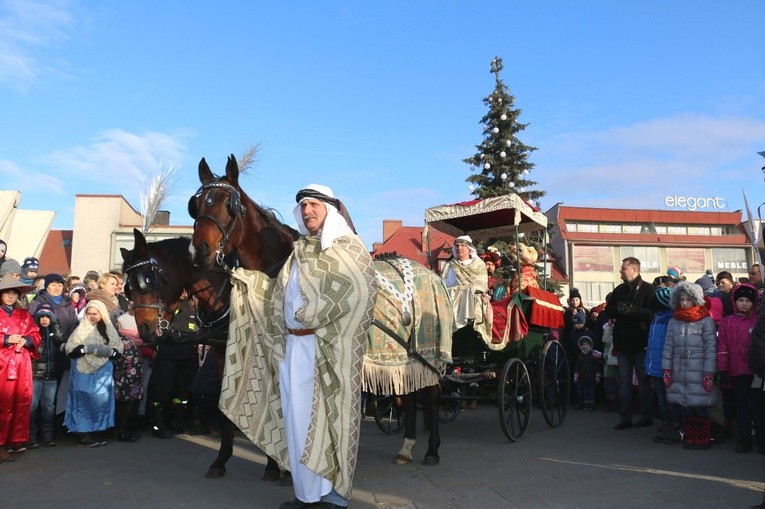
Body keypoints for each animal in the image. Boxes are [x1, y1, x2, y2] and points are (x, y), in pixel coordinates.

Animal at [119, 228, 286, 478]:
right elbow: (225, 404)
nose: (145, 330)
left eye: (146, 281)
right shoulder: (222, 354)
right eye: (128, 289)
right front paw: (221, 460)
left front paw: (275, 465)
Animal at [188, 154, 448, 464]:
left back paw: (432, 449)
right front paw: (222, 459)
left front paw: (275, 467)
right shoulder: (223, 354)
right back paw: (407, 447)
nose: (199, 250)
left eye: (229, 204)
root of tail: (431, 274)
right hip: (402, 360)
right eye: (197, 204)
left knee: (432, 395)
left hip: (427, 352)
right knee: (407, 394)